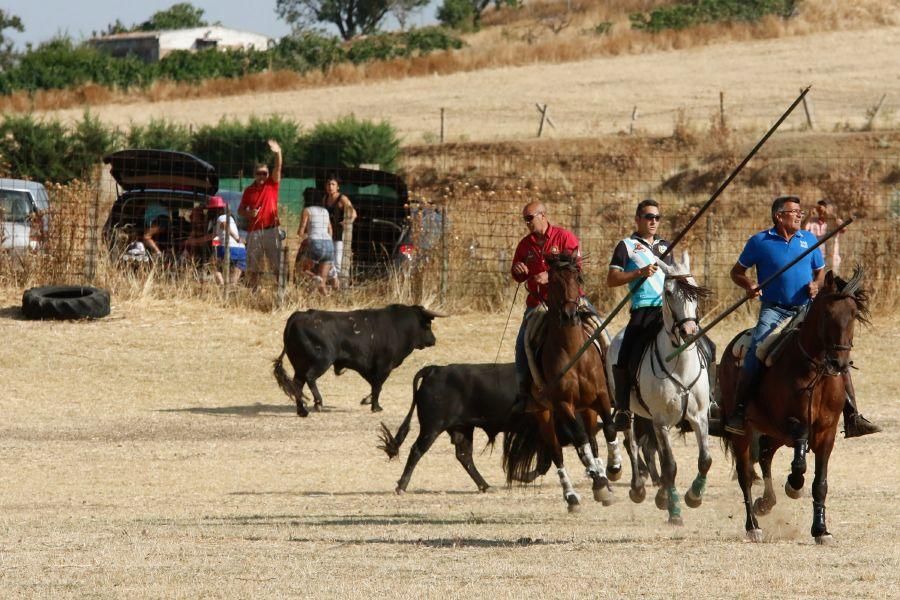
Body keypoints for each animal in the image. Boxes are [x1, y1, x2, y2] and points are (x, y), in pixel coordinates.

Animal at [272, 304, 444, 418]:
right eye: (428, 324)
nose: (433, 340)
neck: (398, 327)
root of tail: (299, 315)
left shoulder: (367, 367)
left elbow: (374, 384)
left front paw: (367, 401)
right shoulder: (383, 366)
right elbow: (378, 386)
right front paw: (376, 407)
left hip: (299, 365)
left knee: (297, 384)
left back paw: (302, 411)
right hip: (322, 361)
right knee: (310, 378)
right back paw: (318, 403)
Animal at [500, 252, 620, 510]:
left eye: (578, 278)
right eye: (554, 282)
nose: (570, 315)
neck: (575, 353)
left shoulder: (601, 397)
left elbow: (609, 429)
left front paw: (614, 468)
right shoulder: (564, 405)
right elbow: (579, 439)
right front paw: (597, 477)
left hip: (587, 409)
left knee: (593, 441)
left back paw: (602, 480)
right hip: (544, 413)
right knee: (558, 452)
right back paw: (573, 495)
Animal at [608, 251, 712, 524]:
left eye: (695, 290)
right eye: (668, 292)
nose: (689, 331)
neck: (679, 362)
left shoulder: (699, 417)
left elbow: (705, 460)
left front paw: (693, 497)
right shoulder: (662, 420)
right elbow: (670, 465)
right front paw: (675, 511)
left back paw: (662, 493)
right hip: (632, 413)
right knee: (632, 444)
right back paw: (638, 489)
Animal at [716, 268, 864, 544]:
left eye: (853, 314)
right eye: (827, 314)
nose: (839, 363)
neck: (816, 370)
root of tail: (732, 347)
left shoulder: (827, 432)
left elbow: (820, 483)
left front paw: (821, 529)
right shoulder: (794, 424)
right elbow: (800, 463)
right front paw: (793, 485)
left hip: (774, 433)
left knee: (765, 454)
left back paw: (766, 503)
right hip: (746, 431)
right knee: (745, 474)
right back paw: (753, 526)